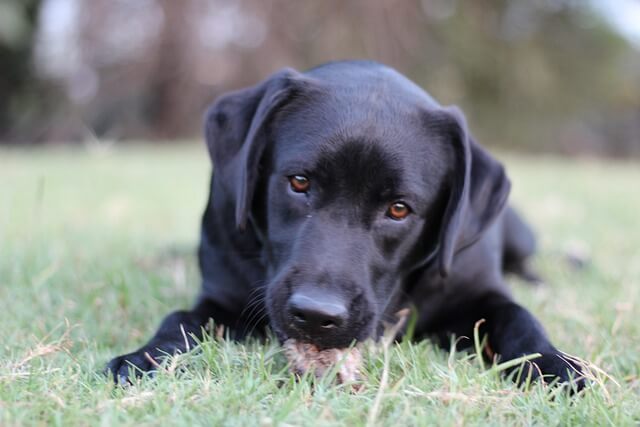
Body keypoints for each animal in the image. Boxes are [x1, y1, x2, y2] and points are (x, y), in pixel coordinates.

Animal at [106, 61, 584, 390]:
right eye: (299, 182)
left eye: (398, 209)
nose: (317, 316)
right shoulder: (222, 296)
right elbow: (181, 320)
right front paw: (145, 357)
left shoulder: (482, 293)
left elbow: (519, 318)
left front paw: (556, 367)